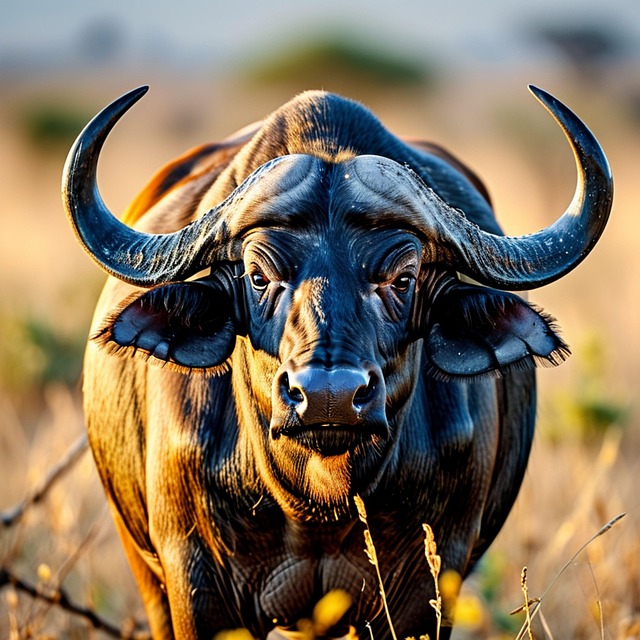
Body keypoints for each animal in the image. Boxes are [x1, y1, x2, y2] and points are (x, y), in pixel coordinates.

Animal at [62, 86, 612, 639]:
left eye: (402, 278)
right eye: (258, 276)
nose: (331, 397)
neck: (316, 499)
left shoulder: (427, 586)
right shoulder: (195, 580)